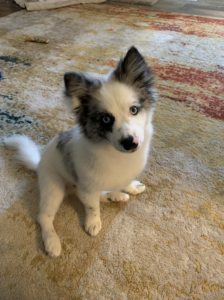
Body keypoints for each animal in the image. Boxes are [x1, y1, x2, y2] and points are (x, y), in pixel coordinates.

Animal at [4, 47, 157, 258]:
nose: (130, 143)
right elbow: (92, 207)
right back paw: (52, 242)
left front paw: (131, 187)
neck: (115, 154)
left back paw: (115, 196)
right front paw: (93, 222)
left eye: (134, 110)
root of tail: (39, 162)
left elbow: (120, 184)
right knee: (44, 217)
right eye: (105, 119)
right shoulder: (87, 187)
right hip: (53, 189)